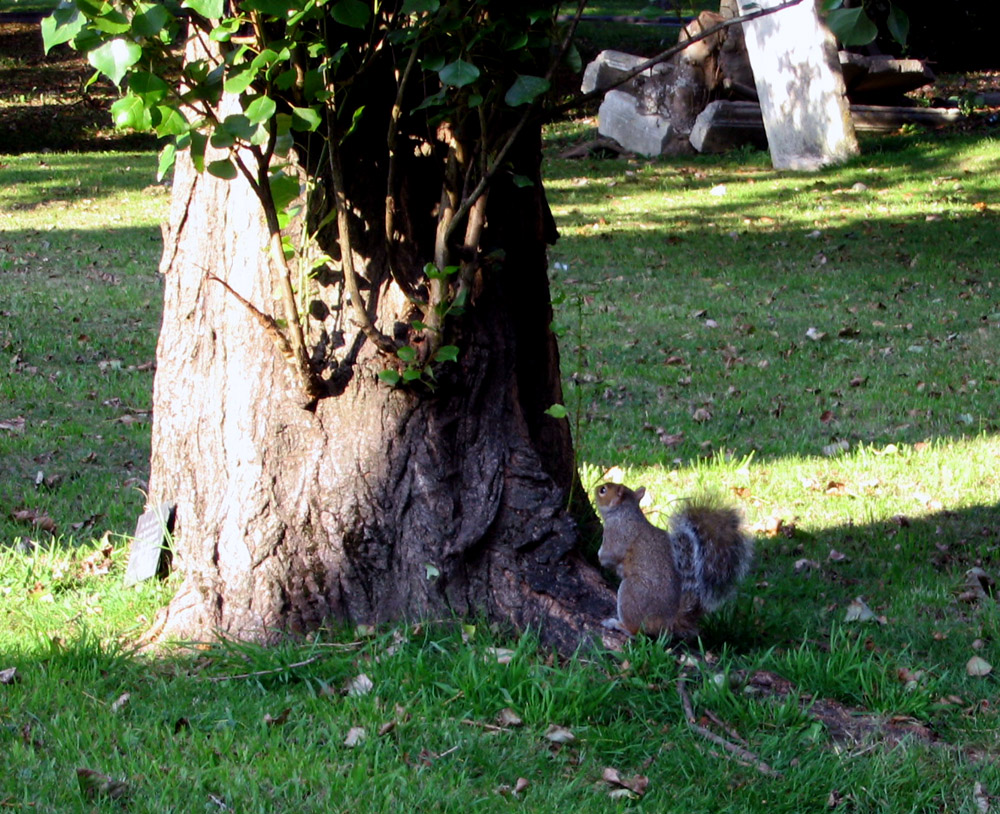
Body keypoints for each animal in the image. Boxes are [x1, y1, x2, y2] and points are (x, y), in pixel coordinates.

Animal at [592, 482, 752, 640]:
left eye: (603, 490)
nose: (595, 488)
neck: (624, 512)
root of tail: (668, 622)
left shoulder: (617, 534)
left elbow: (609, 555)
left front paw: (599, 556)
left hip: (631, 593)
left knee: (636, 630)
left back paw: (618, 625)